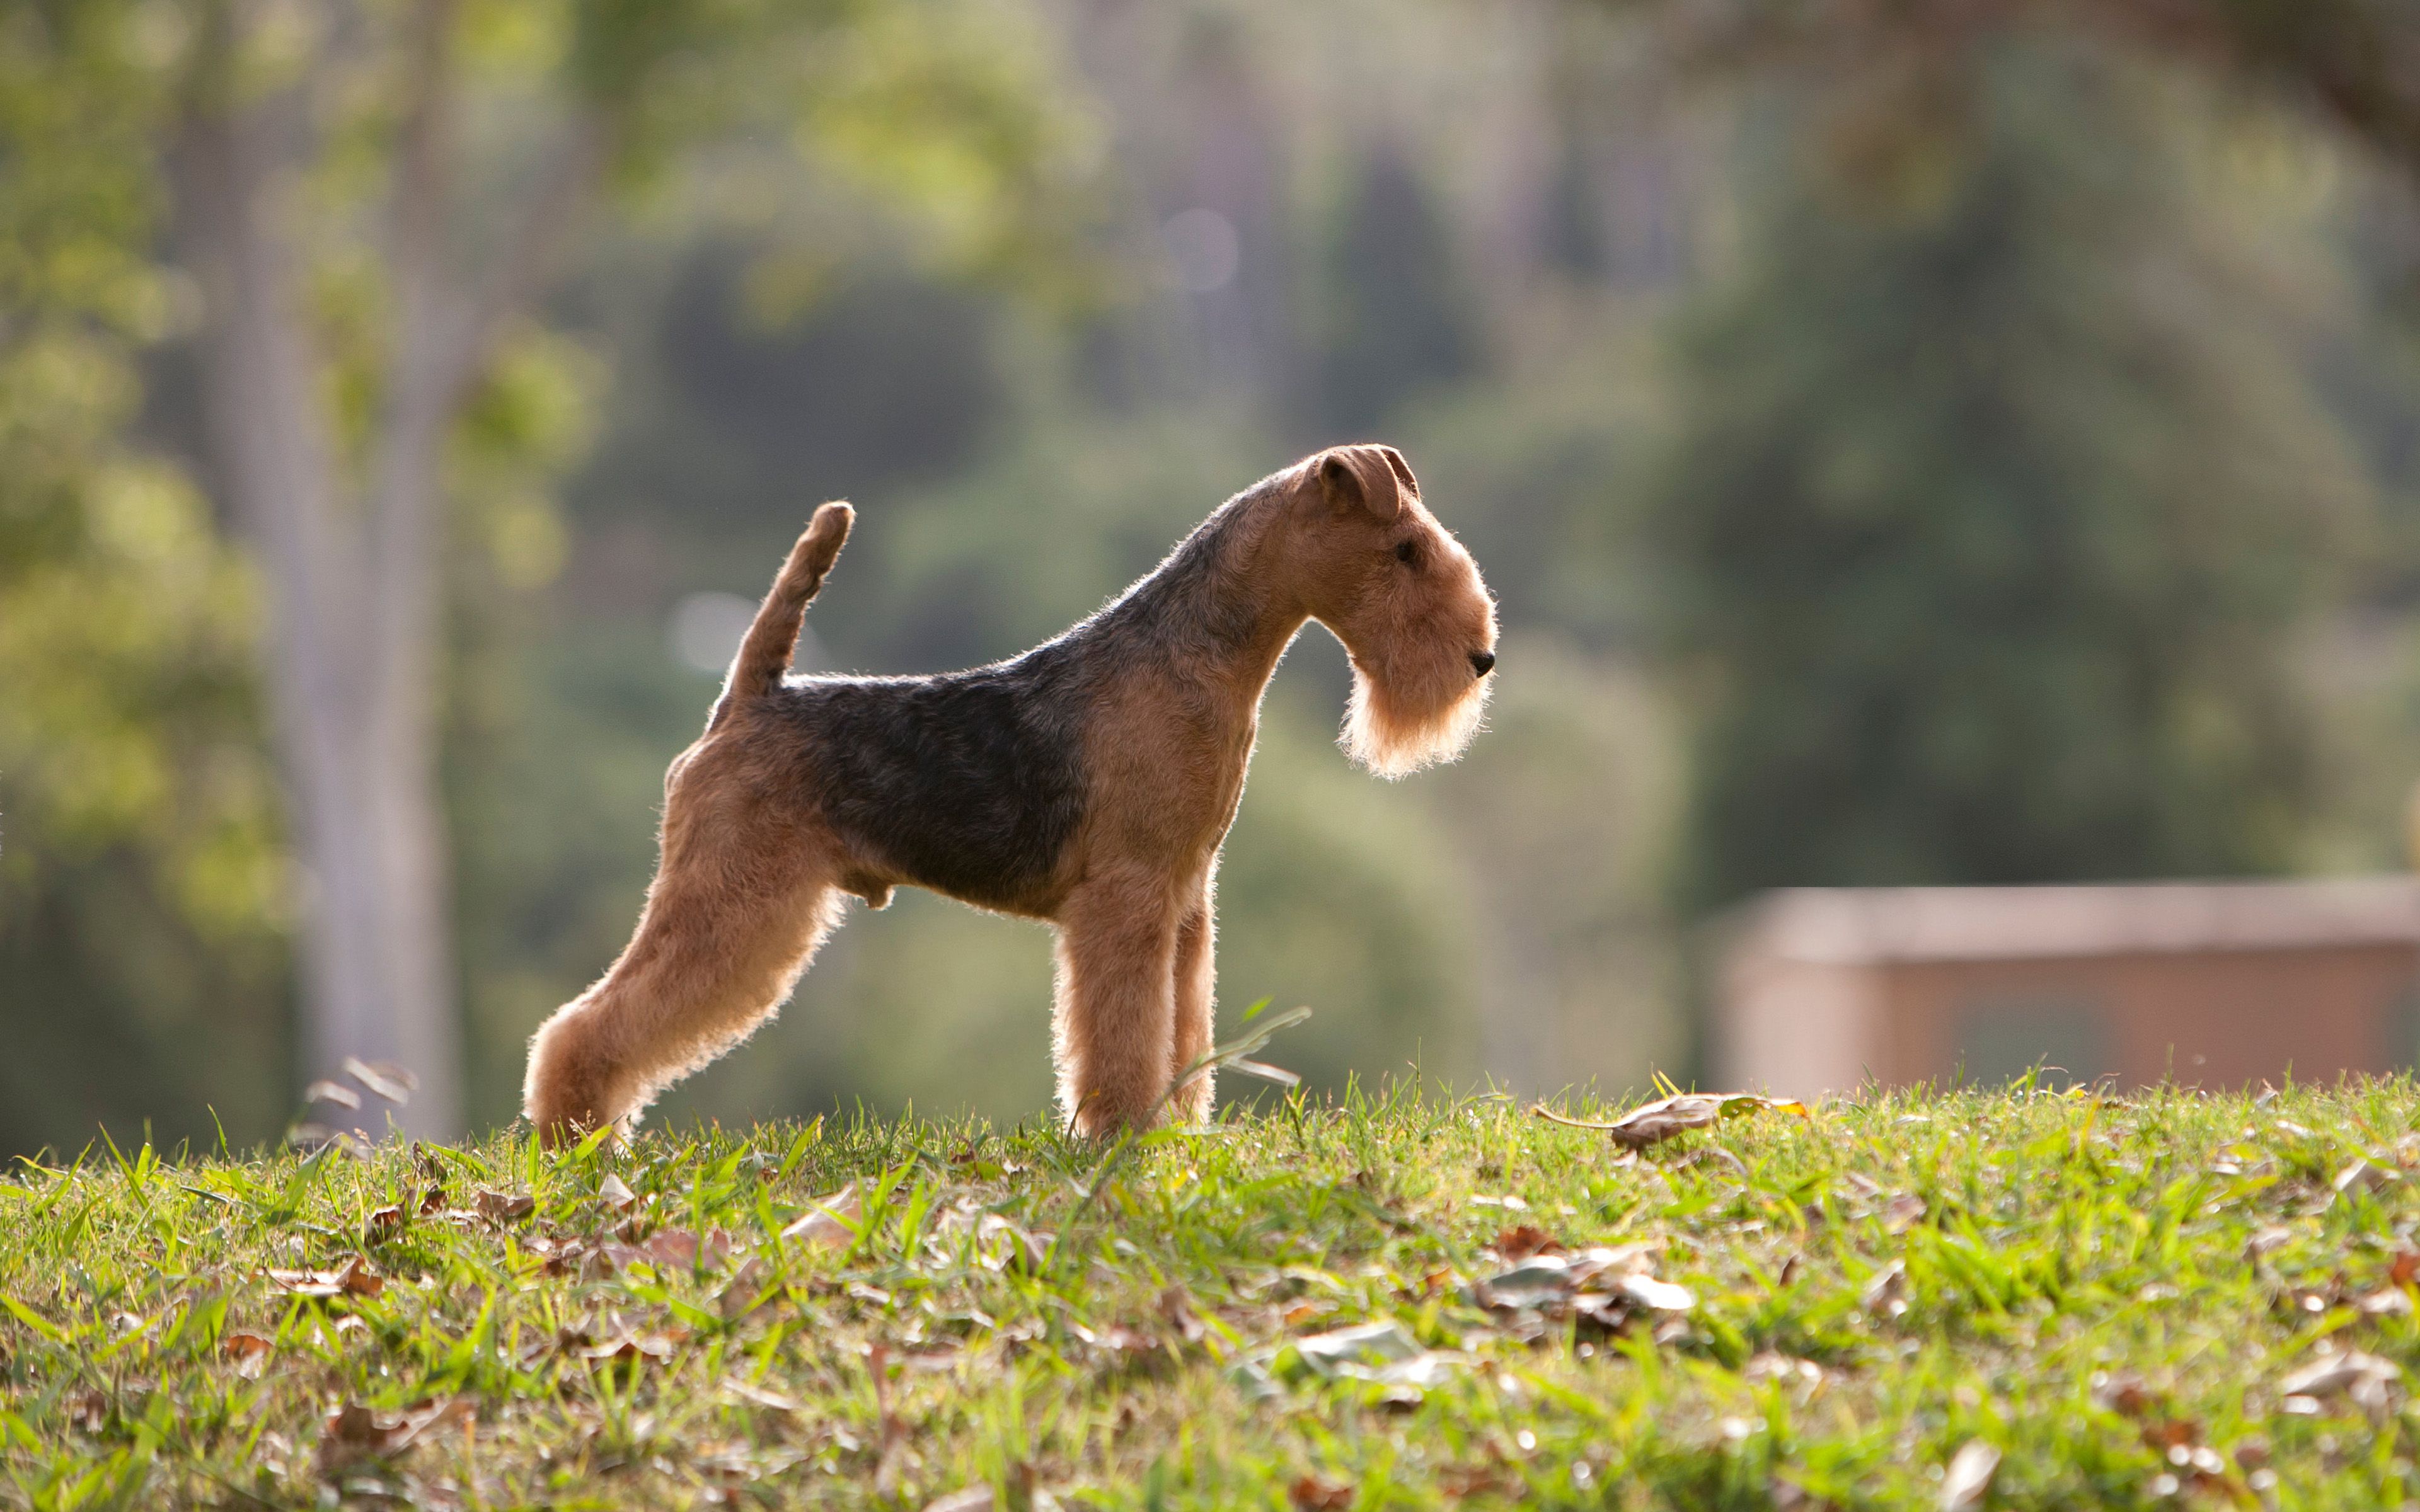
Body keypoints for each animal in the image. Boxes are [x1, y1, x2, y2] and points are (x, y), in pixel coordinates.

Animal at [525, 442, 1490, 1137]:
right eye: (1404, 549)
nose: (1480, 658)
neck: (1196, 658)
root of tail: (748, 698)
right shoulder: (1127, 900)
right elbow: (1124, 1035)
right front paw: (1124, 1137)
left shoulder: (1185, 901)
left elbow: (1183, 1029)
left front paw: (1177, 1131)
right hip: (732, 902)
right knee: (585, 1023)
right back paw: (578, 1138)